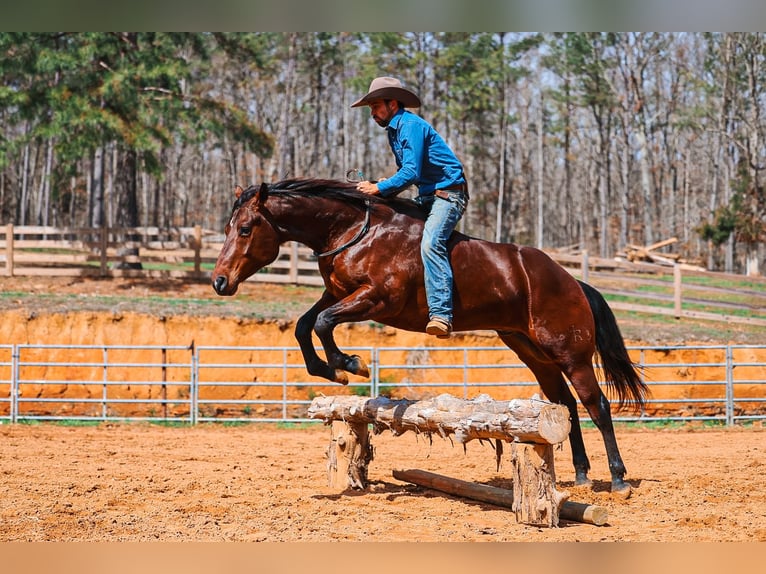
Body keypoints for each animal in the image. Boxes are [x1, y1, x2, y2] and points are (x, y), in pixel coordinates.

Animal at [212, 177, 648, 495]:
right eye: (229, 228)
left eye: (246, 229)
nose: (220, 282)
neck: (353, 231)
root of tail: (573, 281)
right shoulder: (337, 294)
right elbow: (307, 325)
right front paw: (332, 370)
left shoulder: (376, 299)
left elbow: (322, 324)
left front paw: (348, 364)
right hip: (531, 350)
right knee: (566, 406)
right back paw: (581, 475)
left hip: (569, 352)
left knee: (596, 405)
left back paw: (618, 479)